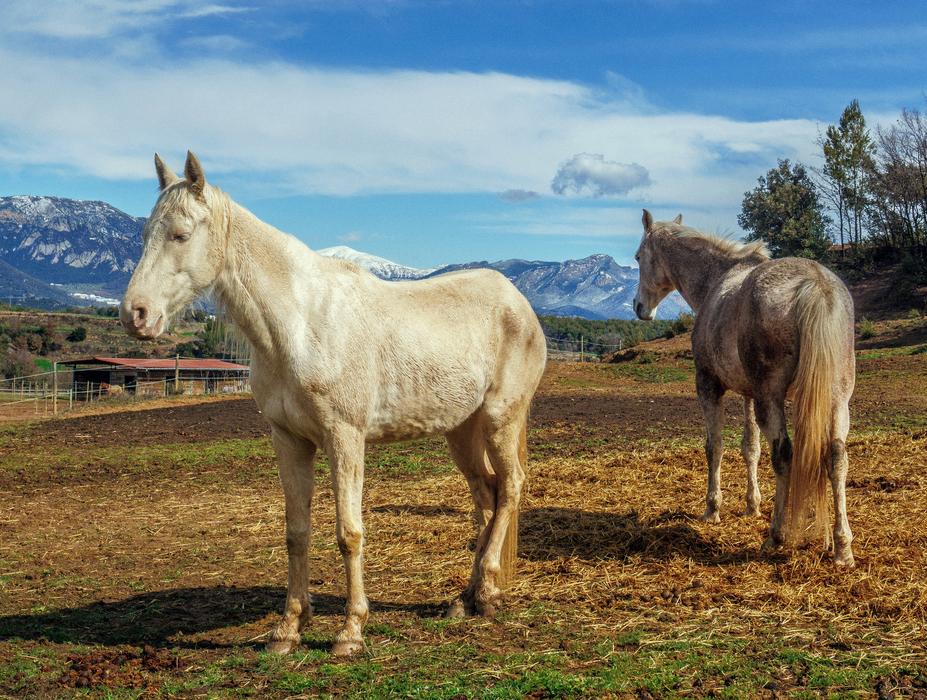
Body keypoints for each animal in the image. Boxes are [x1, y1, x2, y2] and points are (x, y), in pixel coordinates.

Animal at [120, 151, 547, 655]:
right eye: (146, 235)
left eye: (181, 235)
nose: (135, 314)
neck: (300, 325)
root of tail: (518, 303)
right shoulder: (289, 440)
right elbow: (297, 533)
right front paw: (288, 629)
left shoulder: (345, 437)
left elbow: (349, 533)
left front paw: (351, 631)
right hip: (461, 431)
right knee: (487, 495)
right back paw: (471, 597)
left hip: (501, 419)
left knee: (511, 488)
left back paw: (487, 592)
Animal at [632, 210, 856, 566]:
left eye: (639, 257)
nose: (640, 307)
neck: (716, 281)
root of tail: (815, 285)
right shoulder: (748, 394)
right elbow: (750, 448)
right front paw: (752, 505)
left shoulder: (709, 386)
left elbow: (715, 446)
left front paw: (712, 509)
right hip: (836, 401)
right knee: (836, 459)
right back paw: (842, 548)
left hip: (771, 399)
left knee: (784, 456)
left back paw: (776, 537)